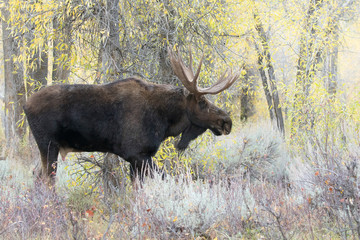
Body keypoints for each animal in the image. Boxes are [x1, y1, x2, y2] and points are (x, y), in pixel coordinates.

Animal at [23, 47, 240, 185]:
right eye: (202, 102)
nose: (227, 121)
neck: (165, 123)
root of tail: (25, 104)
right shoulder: (136, 154)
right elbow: (161, 179)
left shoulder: (137, 159)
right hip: (48, 145)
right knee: (48, 180)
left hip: (50, 147)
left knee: (36, 175)